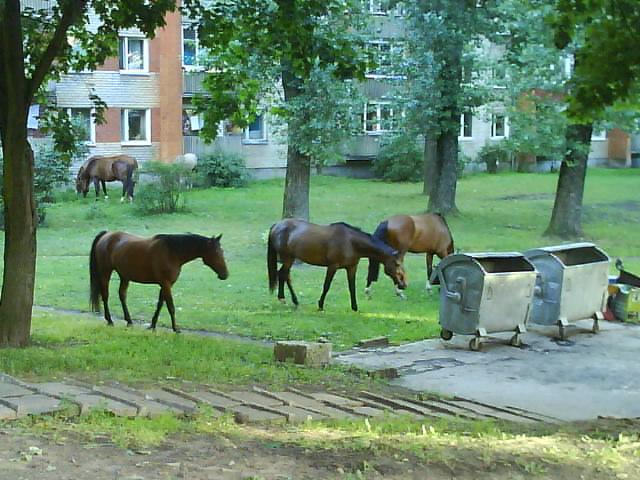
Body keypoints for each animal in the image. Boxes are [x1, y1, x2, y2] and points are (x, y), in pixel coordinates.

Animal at [89, 231, 229, 332]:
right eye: (216, 252)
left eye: (222, 251)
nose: (225, 274)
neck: (172, 253)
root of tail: (106, 235)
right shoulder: (166, 284)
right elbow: (171, 306)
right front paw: (175, 329)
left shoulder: (165, 284)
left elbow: (160, 304)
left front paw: (152, 325)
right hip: (105, 272)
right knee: (105, 295)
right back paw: (110, 320)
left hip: (124, 276)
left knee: (122, 295)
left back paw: (129, 321)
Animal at [264, 218, 404, 312]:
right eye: (397, 264)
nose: (403, 285)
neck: (350, 242)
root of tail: (277, 225)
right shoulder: (332, 266)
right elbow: (326, 286)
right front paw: (320, 305)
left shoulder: (352, 267)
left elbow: (352, 287)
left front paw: (355, 307)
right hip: (287, 258)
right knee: (283, 274)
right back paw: (289, 299)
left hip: (290, 258)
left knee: (284, 275)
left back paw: (288, 299)